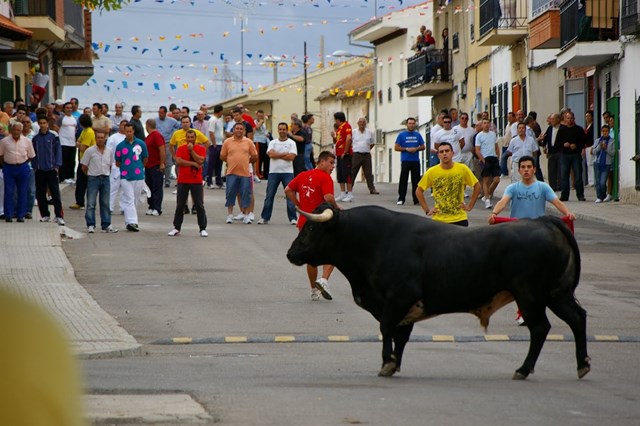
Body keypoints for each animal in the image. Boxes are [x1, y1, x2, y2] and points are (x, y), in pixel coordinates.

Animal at [288, 205, 592, 382]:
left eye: (312, 227)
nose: (291, 253)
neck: (375, 241)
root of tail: (543, 222)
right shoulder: (406, 306)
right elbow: (401, 335)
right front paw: (395, 363)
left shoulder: (399, 297)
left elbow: (387, 328)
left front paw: (387, 363)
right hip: (556, 293)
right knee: (577, 318)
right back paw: (582, 364)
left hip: (530, 295)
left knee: (540, 328)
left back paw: (523, 369)